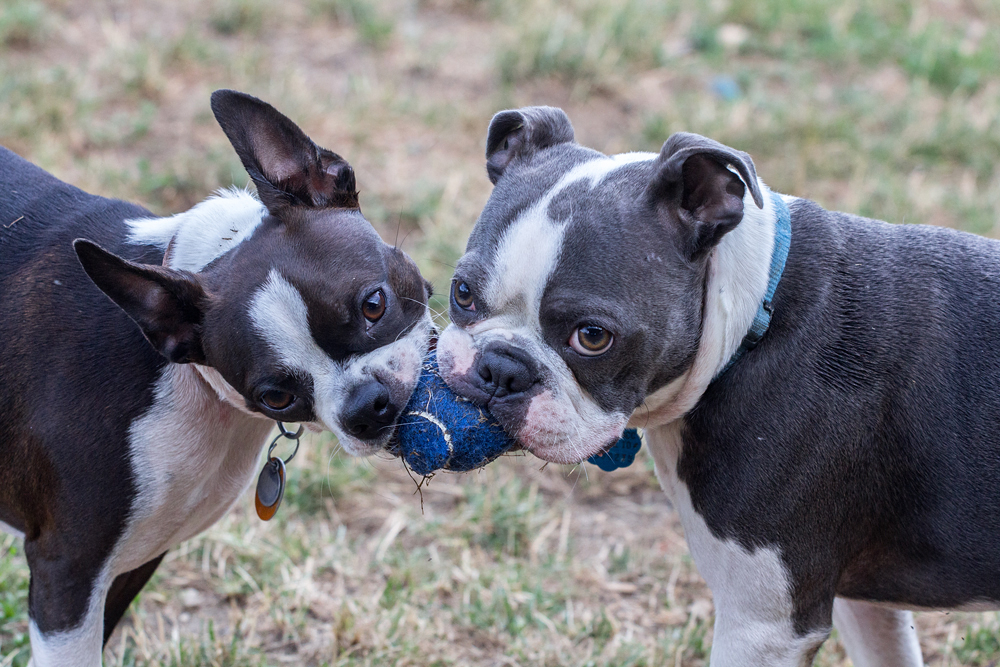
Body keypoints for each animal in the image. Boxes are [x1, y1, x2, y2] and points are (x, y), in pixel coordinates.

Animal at [0, 90, 434, 667]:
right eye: (276, 396)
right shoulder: (67, 573)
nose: (367, 405)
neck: (190, 385)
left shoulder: (131, 560)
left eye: (374, 304)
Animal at [440, 107, 1000, 664]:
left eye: (592, 337)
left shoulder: (763, 626)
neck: (752, 324)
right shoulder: (860, 606)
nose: (501, 368)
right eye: (461, 292)